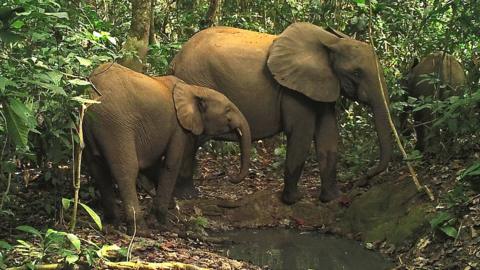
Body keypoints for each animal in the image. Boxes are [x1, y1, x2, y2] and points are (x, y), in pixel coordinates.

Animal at [84, 62, 251, 233]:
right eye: (228, 110)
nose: (230, 176)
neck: (194, 89)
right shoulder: (178, 128)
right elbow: (171, 164)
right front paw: (163, 222)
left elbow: (153, 166)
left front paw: (170, 207)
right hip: (117, 125)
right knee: (126, 170)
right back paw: (140, 229)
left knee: (97, 168)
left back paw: (111, 223)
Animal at [172, 23, 394, 205]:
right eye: (356, 73)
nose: (364, 178)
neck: (332, 42)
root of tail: (175, 60)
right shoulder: (293, 90)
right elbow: (301, 134)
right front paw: (293, 200)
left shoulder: (321, 84)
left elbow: (328, 136)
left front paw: (332, 199)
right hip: (194, 79)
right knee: (191, 138)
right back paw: (187, 196)